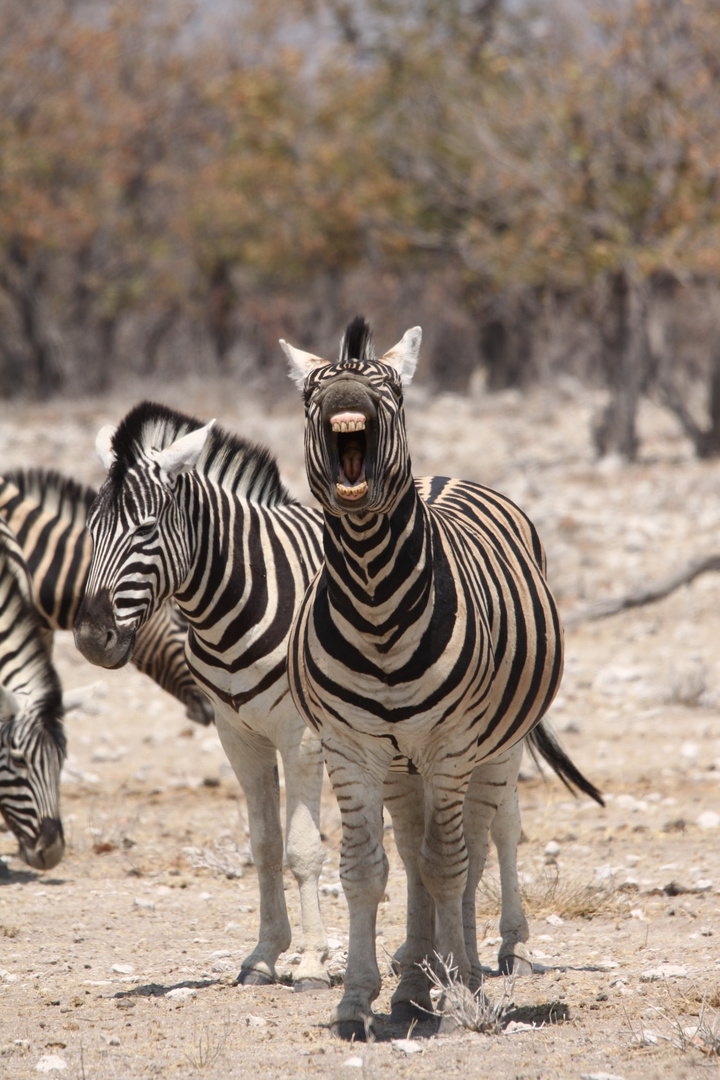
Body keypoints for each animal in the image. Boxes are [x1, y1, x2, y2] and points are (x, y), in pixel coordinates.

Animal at [280, 315, 578, 1032]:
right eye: (310, 393)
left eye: (390, 391)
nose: (345, 401)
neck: (373, 596)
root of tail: (441, 478)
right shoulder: (351, 748)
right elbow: (367, 870)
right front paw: (357, 999)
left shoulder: (450, 746)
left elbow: (448, 867)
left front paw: (463, 992)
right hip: (398, 762)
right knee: (414, 848)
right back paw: (416, 978)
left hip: (493, 748)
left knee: (480, 843)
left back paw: (473, 963)